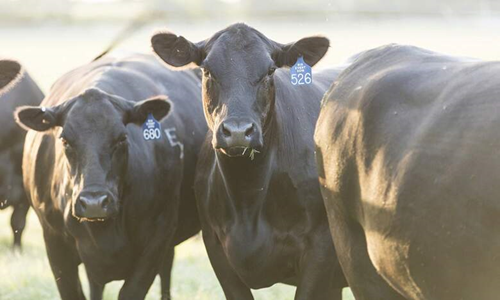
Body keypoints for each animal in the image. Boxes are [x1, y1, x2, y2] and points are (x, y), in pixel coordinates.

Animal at [152, 22, 348, 298]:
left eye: (270, 71)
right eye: (207, 71)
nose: (237, 131)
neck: (248, 196)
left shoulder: (320, 248)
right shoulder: (216, 247)